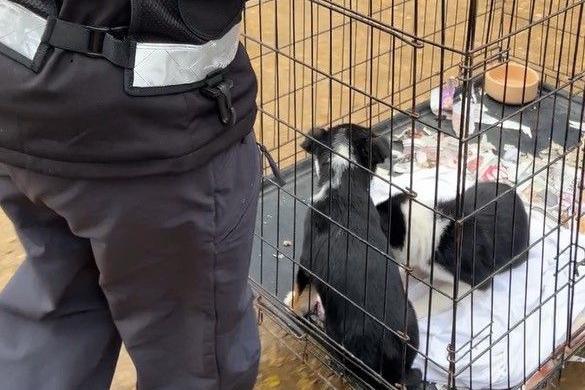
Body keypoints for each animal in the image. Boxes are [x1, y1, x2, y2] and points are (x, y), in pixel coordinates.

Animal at [282, 124, 420, 386]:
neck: (342, 184)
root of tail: (387, 347)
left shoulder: (306, 262)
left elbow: (300, 289)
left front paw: (292, 305)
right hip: (410, 320)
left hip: (335, 334)